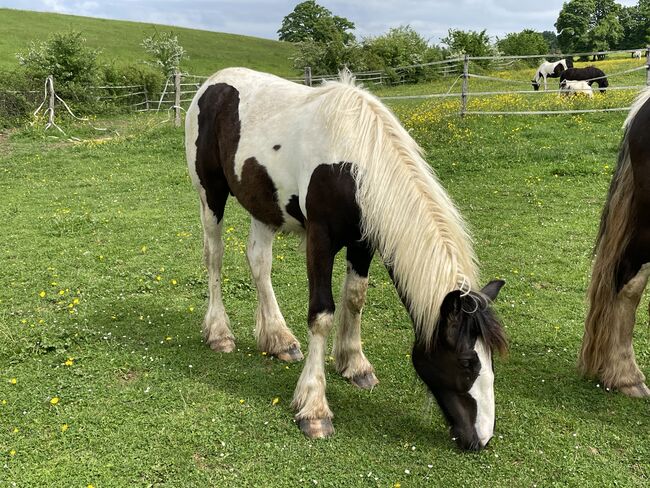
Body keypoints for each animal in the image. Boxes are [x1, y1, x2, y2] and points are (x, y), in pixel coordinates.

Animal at [185, 67, 507, 451]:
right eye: (467, 361)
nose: (482, 438)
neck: (353, 163)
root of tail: (210, 84)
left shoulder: (364, 241)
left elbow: (355, 298)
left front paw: (355, 366)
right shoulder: (320, 240)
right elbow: (322, 314)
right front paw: (314, 409)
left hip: (264, 206)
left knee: (259, 263)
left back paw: (278, 339)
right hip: (211, 194)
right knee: (214, 257)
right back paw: (219, 333)